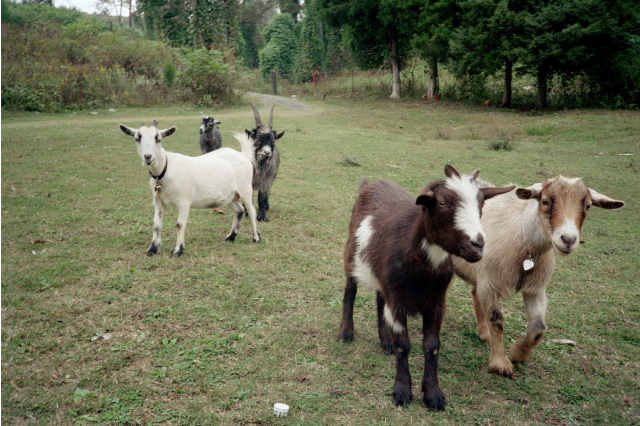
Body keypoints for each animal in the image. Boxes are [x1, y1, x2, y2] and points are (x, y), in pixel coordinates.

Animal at [119, 121, 260, 257]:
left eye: (158, 138)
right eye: (137, 138)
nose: (148, 157)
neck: (165, 168)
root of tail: (243, 155)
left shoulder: (184, 201)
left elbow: (179, 224)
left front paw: (178, 250)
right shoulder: (158, 201)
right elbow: (156, 225)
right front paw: (152, 249)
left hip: (245, 189)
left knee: (251, 211)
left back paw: (256, 238)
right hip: (230, 196)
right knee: (239, 210)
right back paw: (231, 237)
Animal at [337, 166, 514, 410]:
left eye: (481, 203)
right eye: (442, 203)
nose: (477, 245)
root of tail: (370, 183)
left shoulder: (436, 302)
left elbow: (432, 346)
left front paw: (433, 394)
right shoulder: (398, 300)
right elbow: (404, 345)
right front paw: (402, 391)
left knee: (380, 298)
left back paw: (385, 341)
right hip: (351, 257)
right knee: (350, 291)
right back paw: (346, 332)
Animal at [453, 176, 624, 377]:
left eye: (588, 206)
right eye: (545, 201)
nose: (568, 240)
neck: (525, 245)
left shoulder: (536, 289)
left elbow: (538, 329)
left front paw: (518, 354)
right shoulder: (490, 284)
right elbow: (497, 321)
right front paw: (500, 364)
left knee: (475, 294)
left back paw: (483, 333)